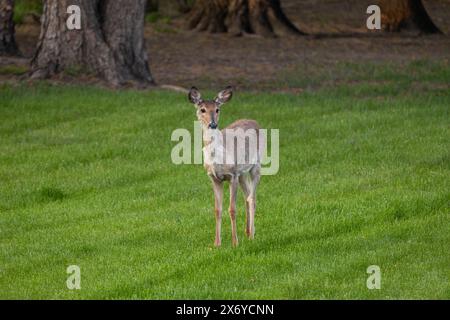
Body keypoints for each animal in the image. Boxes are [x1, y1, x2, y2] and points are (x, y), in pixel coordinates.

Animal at [188, 87, 266, 248]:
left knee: (252, 198)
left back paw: (252, 236)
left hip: (255, 165)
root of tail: (254, 121)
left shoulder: (232, 175)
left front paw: (235, 242)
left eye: (217, 109)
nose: (213, 124)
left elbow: (232, 209)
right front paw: (217, 243)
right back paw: (248, 231)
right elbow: (217, 210)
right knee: (247, 195)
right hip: (242, 173)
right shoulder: (214, 178)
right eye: (202, 109)